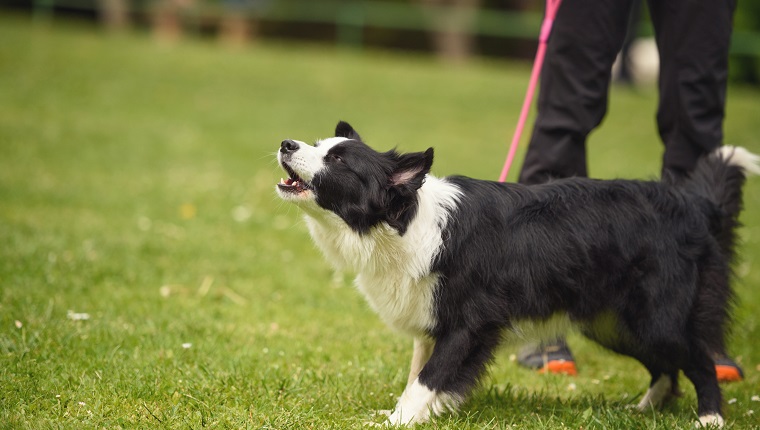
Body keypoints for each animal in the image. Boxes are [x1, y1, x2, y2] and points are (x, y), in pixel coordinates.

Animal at [276, 121, 756, 426]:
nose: (285, 144)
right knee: (666, 369)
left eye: (339, 160)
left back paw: (710, 418)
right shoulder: (431, 320)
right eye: (316, 144)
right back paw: (643, 411)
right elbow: (419, 372)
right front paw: (412, 415)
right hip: (613, 323)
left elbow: (427, 378)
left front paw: (399, 419)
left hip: (654, 317)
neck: (403, 223)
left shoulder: (469, 323)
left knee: (699, 359)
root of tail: (693, 204)